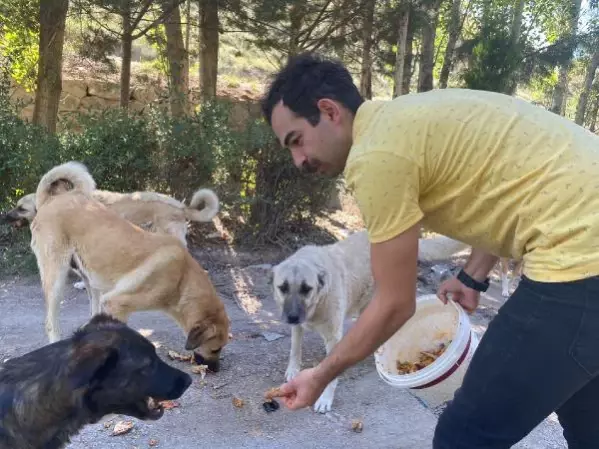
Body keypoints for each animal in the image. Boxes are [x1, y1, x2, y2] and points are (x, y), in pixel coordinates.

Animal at [29, 161, 232, 372]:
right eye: (216, 349)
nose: (217, 369)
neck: (182, 280)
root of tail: (51, 200)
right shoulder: (116, 304)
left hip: (91, 280)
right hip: (56, 279)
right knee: (51, 323)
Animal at [272, 229, 474, 412]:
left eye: (306, 289)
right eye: (283, 287)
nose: (292, 317)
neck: (317, 301)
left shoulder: (333, 336)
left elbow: (329, 373)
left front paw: (325, 398)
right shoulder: (298, 328)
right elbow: (295, 349)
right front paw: (293, 370)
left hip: (377, 304)